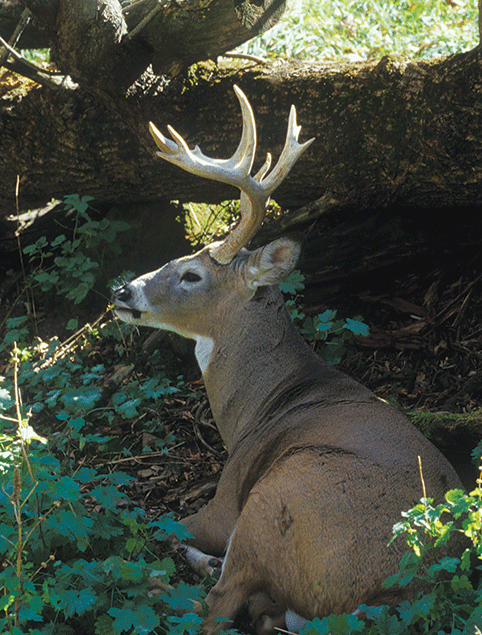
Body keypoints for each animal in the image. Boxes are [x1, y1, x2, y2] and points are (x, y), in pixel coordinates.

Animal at [113, 88, 464, 635]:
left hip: (277, 498)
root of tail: (391, 595)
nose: (122, 291)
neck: (259, 406)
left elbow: (158, 523)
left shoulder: (227, 500)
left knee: (215, 606)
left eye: (191, 274)